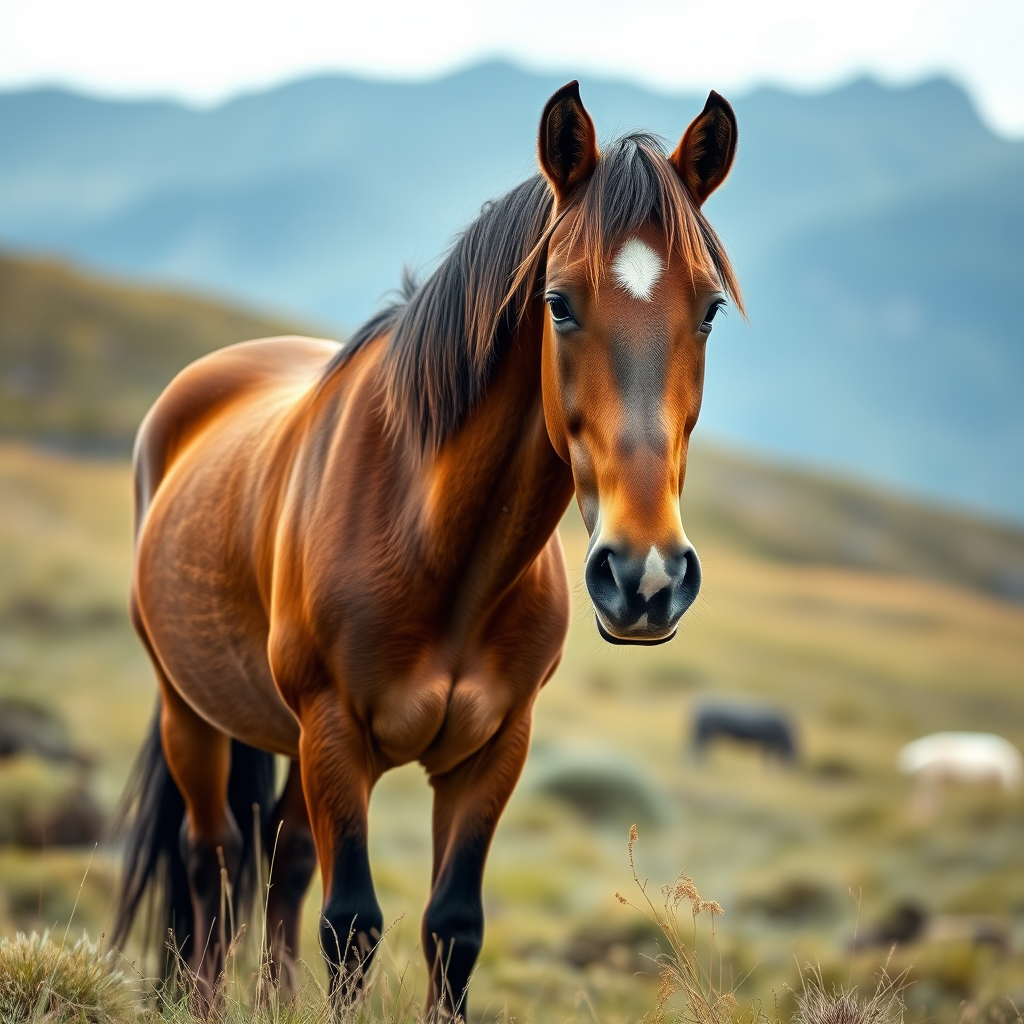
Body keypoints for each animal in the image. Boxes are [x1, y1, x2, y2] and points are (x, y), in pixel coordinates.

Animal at [111, 81, 742, 1017]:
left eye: (707, 310)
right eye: (559, 303)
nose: (645, 576)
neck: (439, 550)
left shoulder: (493, 752)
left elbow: (452, 930)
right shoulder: (336, 735)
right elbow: (351, 926)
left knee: (281, 861)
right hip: (190, 711)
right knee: (211, 856)